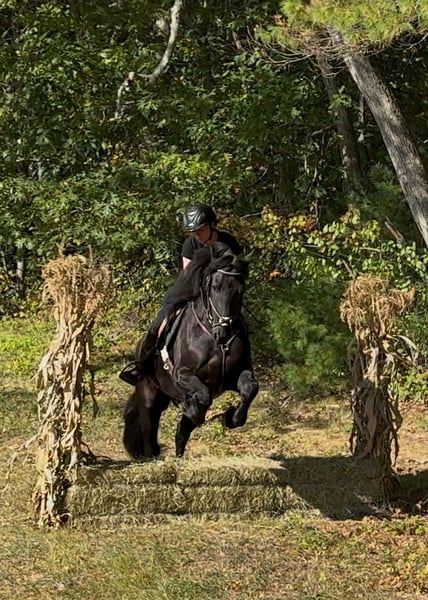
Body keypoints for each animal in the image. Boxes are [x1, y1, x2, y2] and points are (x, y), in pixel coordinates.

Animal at [123, 242, 259, 458]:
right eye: (214, 286)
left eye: (240, 290)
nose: (223, 332)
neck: (214, 340)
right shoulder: (182, 374)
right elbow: (203, 396)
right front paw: (196, 411)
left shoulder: (237, 374)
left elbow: (250, 388)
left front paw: (230, 418)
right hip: (148, 395)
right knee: (149, 431)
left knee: (180, 435)